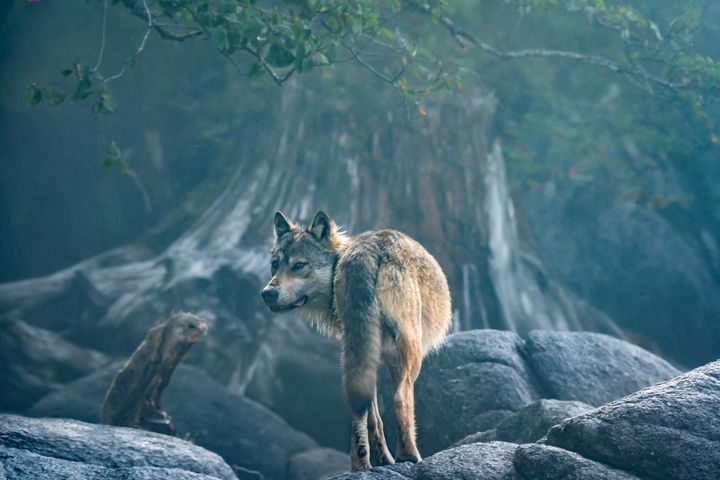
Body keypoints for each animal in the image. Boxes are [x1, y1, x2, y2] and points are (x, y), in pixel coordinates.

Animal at [261, 210, 452, 471]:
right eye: (275, 264)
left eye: (298, 265)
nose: (267, 293)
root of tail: (365, 251)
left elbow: (374, 417)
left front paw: (382, 460)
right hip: (412, 356)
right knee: (400, 400)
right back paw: (410, 456)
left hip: (357, 353)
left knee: (359, 408)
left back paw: (360, 464)